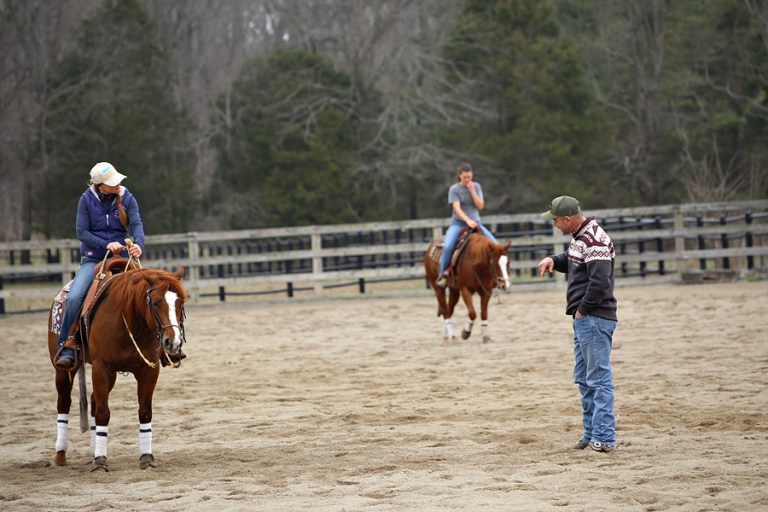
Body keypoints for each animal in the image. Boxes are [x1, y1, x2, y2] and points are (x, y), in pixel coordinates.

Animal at [47, 266, 187, 470]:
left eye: (181, 303)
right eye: (155, 303)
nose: (173, 342)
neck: (130, 320)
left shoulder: (149, 371)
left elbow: (145, 412)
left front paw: (146, 457)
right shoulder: (101, 368)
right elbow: (103, 413)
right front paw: (100, 461)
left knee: (93, 401)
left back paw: (93, 449)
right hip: (64, 370)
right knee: (64, 403)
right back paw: (60, 455)